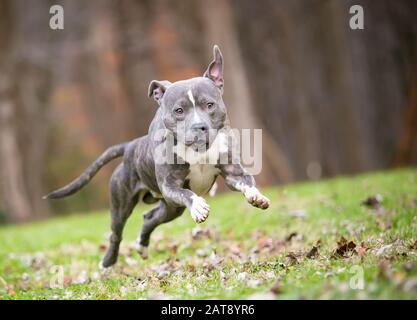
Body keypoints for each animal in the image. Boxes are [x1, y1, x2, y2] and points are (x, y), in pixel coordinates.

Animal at [43, 45, 270, 268]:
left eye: (210, 105)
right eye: (179, 110)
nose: (199, 127)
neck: (198, 150)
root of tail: (130, 146)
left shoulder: (233, 173)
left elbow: (247, 181)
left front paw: (256, 196)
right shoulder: (170, 186)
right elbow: (187, 193)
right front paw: (198, 206)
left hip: (170, 208)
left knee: (149, 217)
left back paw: (142, 246)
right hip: (123, 204)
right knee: (116, 233)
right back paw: (108, 262)